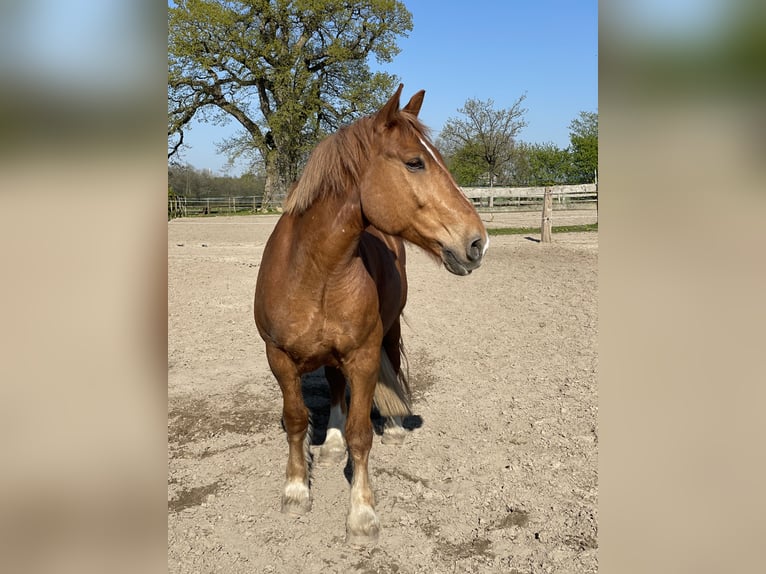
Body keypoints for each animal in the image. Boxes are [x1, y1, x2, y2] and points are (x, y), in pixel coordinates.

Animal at [253, 84, 488, 544]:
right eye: (415, 162)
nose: (477, 242)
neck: (314, 271)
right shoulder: (280, 358)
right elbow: (296, 420)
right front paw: (296, 490)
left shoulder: (362, 356)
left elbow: (362, 435)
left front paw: (362, 514)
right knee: (334, 386)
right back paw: (330, 444)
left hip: (390, 329)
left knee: (390, 364)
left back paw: (393, 427)